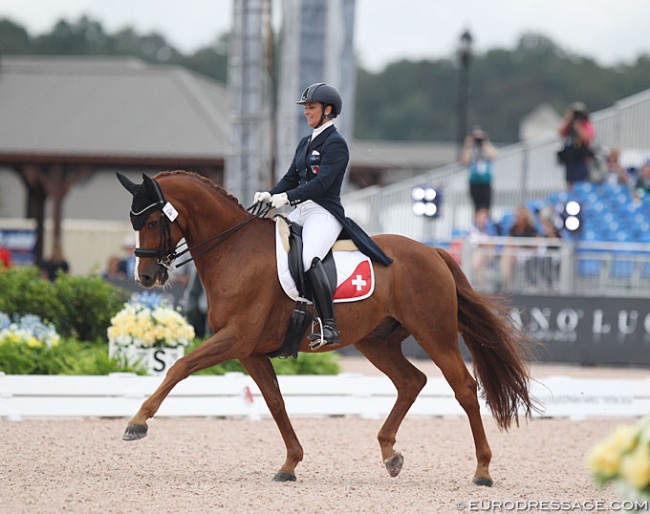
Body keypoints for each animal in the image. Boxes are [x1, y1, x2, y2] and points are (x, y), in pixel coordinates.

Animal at [115, 169, 532, 484]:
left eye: (151, 220)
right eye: (134, 221)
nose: (146, 276)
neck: (234, 250)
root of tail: (432, 251)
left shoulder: (235, 339)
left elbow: (179, 366)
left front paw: (137, 423)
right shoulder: (250, 351)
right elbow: (275, 402)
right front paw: (290, 464)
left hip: (435, 334)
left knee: (464, 387)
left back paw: (482, 470)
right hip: (375, 342)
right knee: (412, 381)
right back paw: (390, 453)